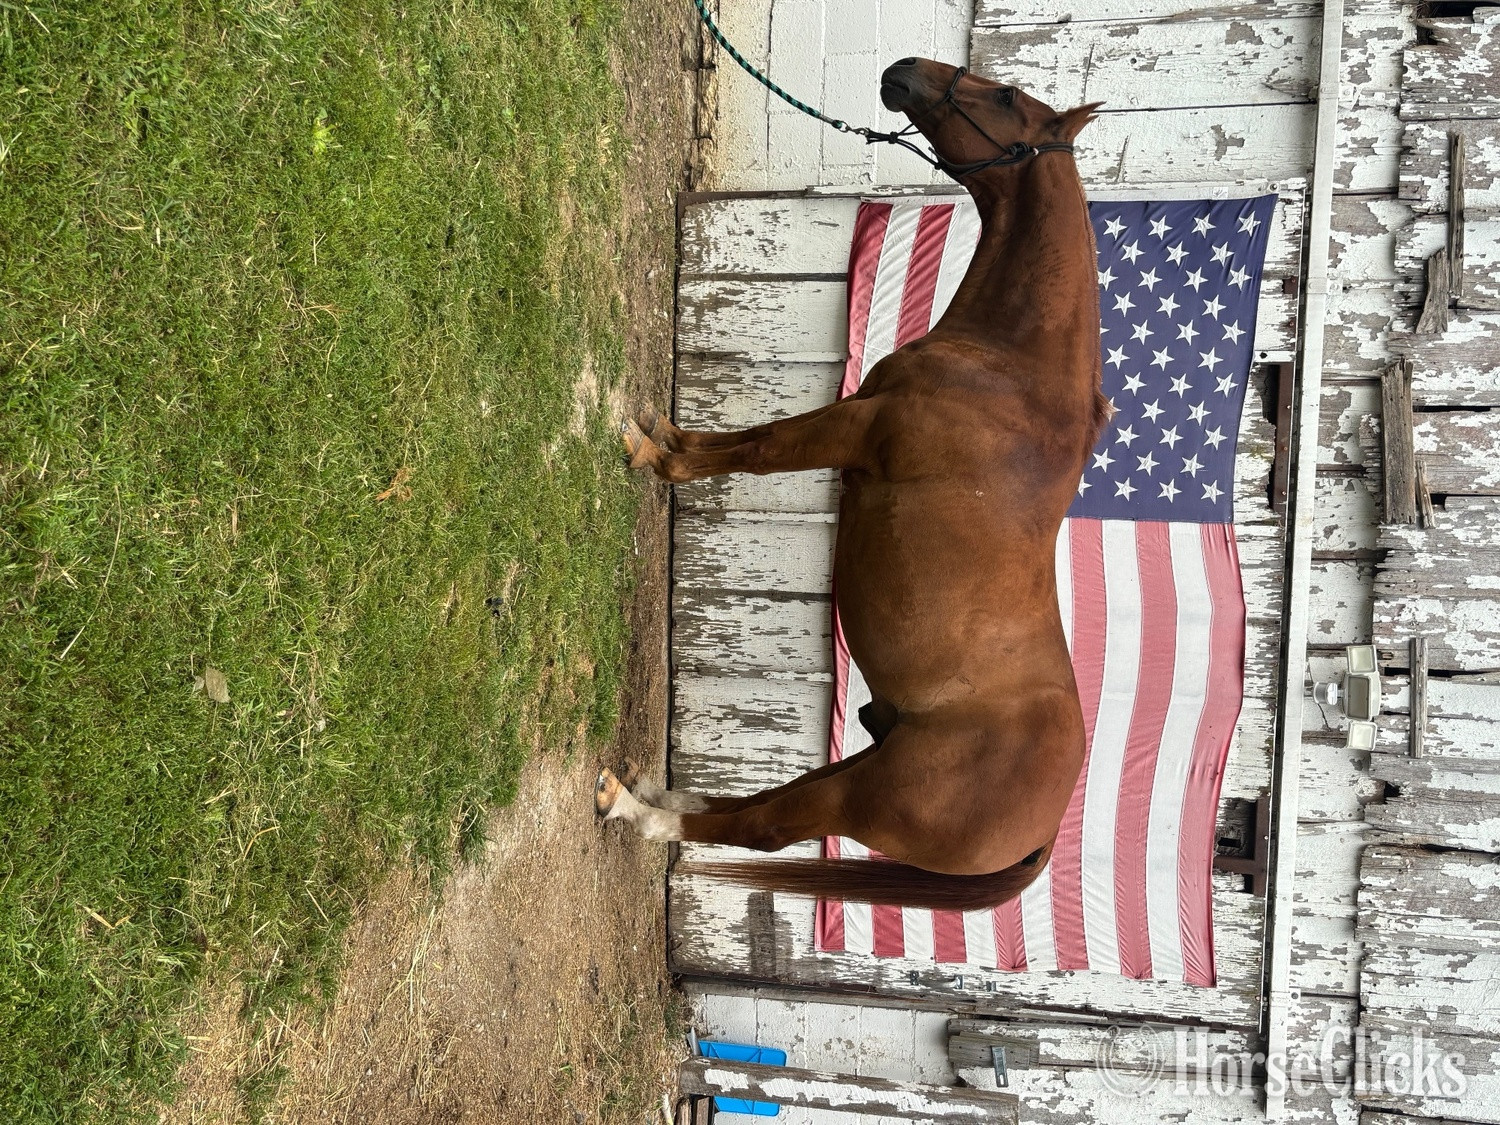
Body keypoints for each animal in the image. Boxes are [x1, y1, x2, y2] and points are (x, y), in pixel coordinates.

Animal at [595, 58, 1111, 914]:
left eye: (1006, 96)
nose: (903, 72)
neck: (1013, 374)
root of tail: (1039, 836)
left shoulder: (856, 430)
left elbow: (761, 450)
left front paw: (655, 457)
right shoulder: (855, 417)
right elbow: (750, 439)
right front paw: (668, 435)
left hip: (861, 796)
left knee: (764, 826)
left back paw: (641, 812)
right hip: (863, 760)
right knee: (764, 803)